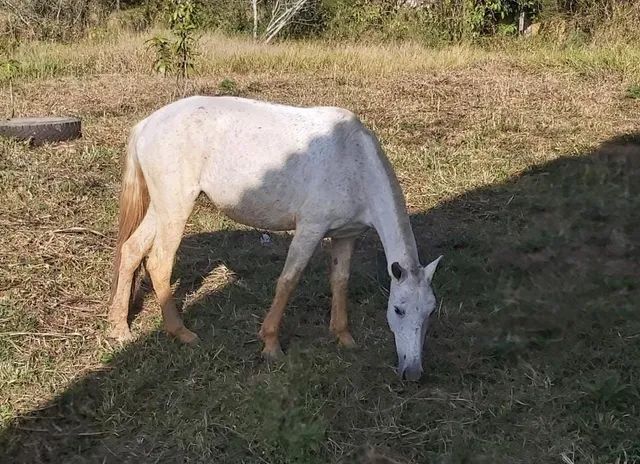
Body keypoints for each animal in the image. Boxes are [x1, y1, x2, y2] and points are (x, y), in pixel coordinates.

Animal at [109, 95, 440, 380]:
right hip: (176, 207)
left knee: (132, 250)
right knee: (159, 263)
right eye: (398, 309)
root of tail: (147, 124)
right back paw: (181, 332)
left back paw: (120, 328)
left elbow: (340, 282)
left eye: (429, 312)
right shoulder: (310, 229)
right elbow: (288, 281)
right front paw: (270, 344)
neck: (354, 161)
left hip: (161, 207)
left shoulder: (346, 236)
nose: (413, 373)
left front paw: (343, 337)